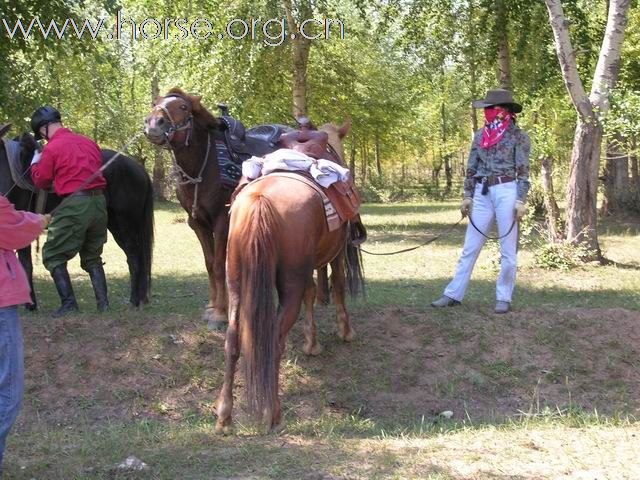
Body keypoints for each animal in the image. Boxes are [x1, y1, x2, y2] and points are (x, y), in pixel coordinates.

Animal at [143, 89, 230, 330]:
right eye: (156, 102)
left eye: (183, 107)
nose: (153, 123)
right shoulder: (198, 224)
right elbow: (210, 264)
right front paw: (212, 308)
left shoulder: (221, 223)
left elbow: (219, 266)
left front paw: (220, 314)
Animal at [215, 123, 364, 432]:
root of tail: (260, 201)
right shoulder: (336, 254)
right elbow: (338, 287)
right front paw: (345, 331)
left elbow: (312, 292)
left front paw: (311, 343)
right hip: (288, 285)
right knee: (273, 340)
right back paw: (271, 412)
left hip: (235, 280)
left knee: (232, 339)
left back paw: (224, 414)